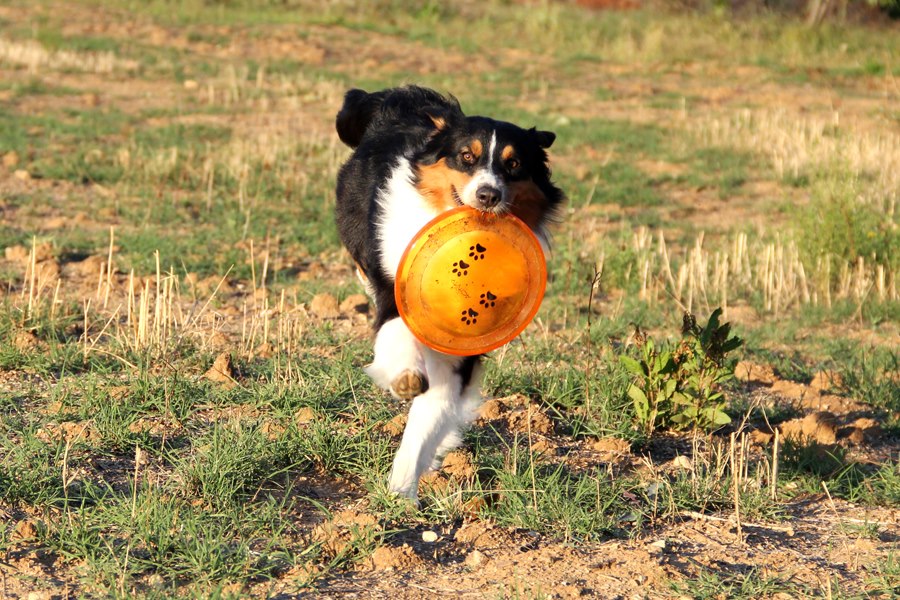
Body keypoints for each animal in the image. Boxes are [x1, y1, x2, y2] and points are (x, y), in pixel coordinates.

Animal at [334, 83, 568, 496]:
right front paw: (405, 377)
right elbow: (398, 337)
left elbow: (435, 408)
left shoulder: (467, 342)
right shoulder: (396, 293)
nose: (489, 195)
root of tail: (399, 96)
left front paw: (402, 486)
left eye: (513, 164)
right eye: (466, 156)